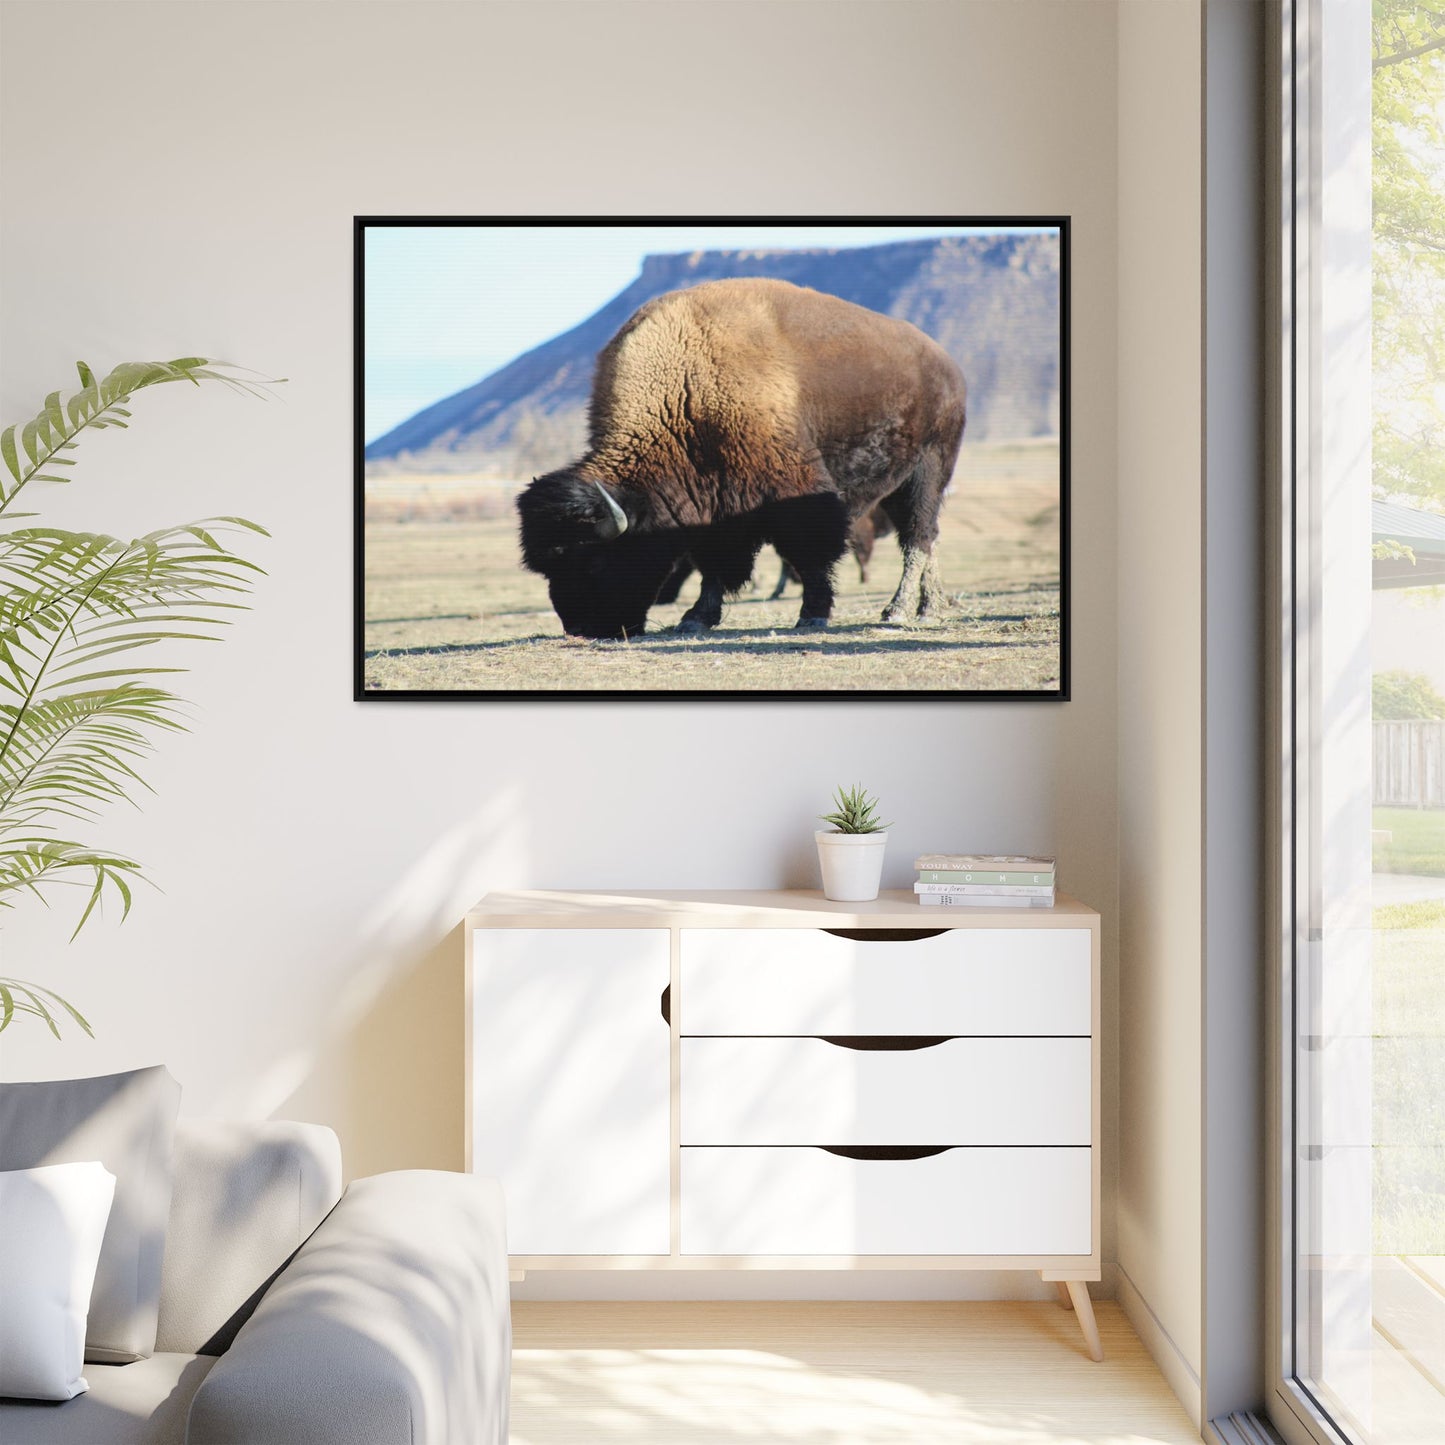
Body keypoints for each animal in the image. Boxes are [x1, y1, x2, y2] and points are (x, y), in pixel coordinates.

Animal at [516, 277, 966, 640]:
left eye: (592, 561)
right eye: (548, 569)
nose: (581, 628)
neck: (685, 389)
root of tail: (946, 364)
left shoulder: (795, 492)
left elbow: (811, 553)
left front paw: (813, 615)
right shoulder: (714, 505)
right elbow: (714, 564)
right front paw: (695, 618)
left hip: (928, 471)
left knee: (918, 536)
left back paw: (901, 611)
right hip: (898, 483)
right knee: (926, 537)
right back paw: (930, 606)